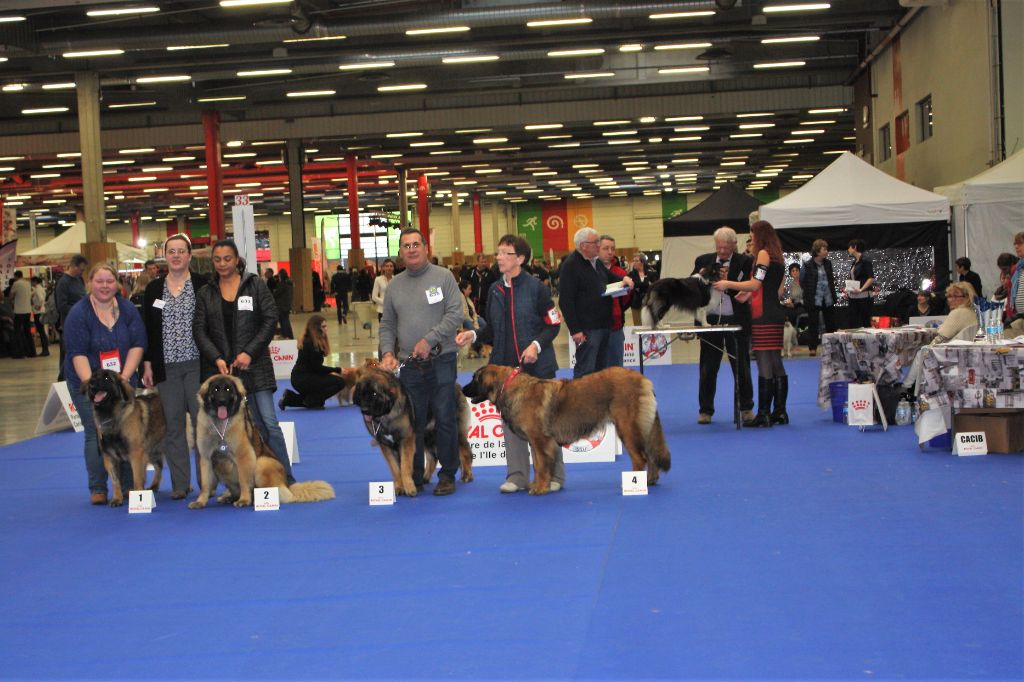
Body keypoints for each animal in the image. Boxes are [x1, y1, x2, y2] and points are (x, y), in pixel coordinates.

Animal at [81, 366, 166, 503]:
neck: (113, 416)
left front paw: (138, 497)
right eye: (93, 376)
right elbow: (115, 481)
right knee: (159, 466)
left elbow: (137, 479)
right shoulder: (109, 457)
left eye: (107, 378)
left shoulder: (136, 455)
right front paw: (117, 498)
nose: (92, 383)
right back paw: (154, 486)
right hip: (153, 449)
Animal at [190, 374, 333, 507]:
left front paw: (244, 499)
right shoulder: (206, 458)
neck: (219, 425)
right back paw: (229, 497)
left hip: (263, 463)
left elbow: (243, 480)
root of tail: (287, 484)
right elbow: (205, 483)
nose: (222, 401)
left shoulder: (243, 456)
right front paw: (200, 501)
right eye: (215, 389)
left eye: (228, 389)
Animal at [352, 364, 475, 497]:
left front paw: (409, 487)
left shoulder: (406, 440)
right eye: (361, 394)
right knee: (433, 457)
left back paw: (466, 475)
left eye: (374, 394)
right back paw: (425, 478)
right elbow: (395, 468)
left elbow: (405, 466)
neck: (387, 415)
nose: (364, 410)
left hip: (452, 430)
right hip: (426, 435)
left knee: (464, 453)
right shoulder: (386, 445)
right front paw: (399, 487)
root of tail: (457, 386)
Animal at [464, 364, 671, 491]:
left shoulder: (540, 440)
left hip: (627, 428)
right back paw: (650, 480)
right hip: (642, 428)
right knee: (650, 455)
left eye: (475, 379)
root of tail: (643, 379)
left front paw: (540, 488)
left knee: (640, 457)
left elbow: (541, 465)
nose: (463, 389)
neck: (509, 387)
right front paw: (537, 485)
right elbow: (538, 465)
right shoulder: (536, 442)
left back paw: (634, 481)